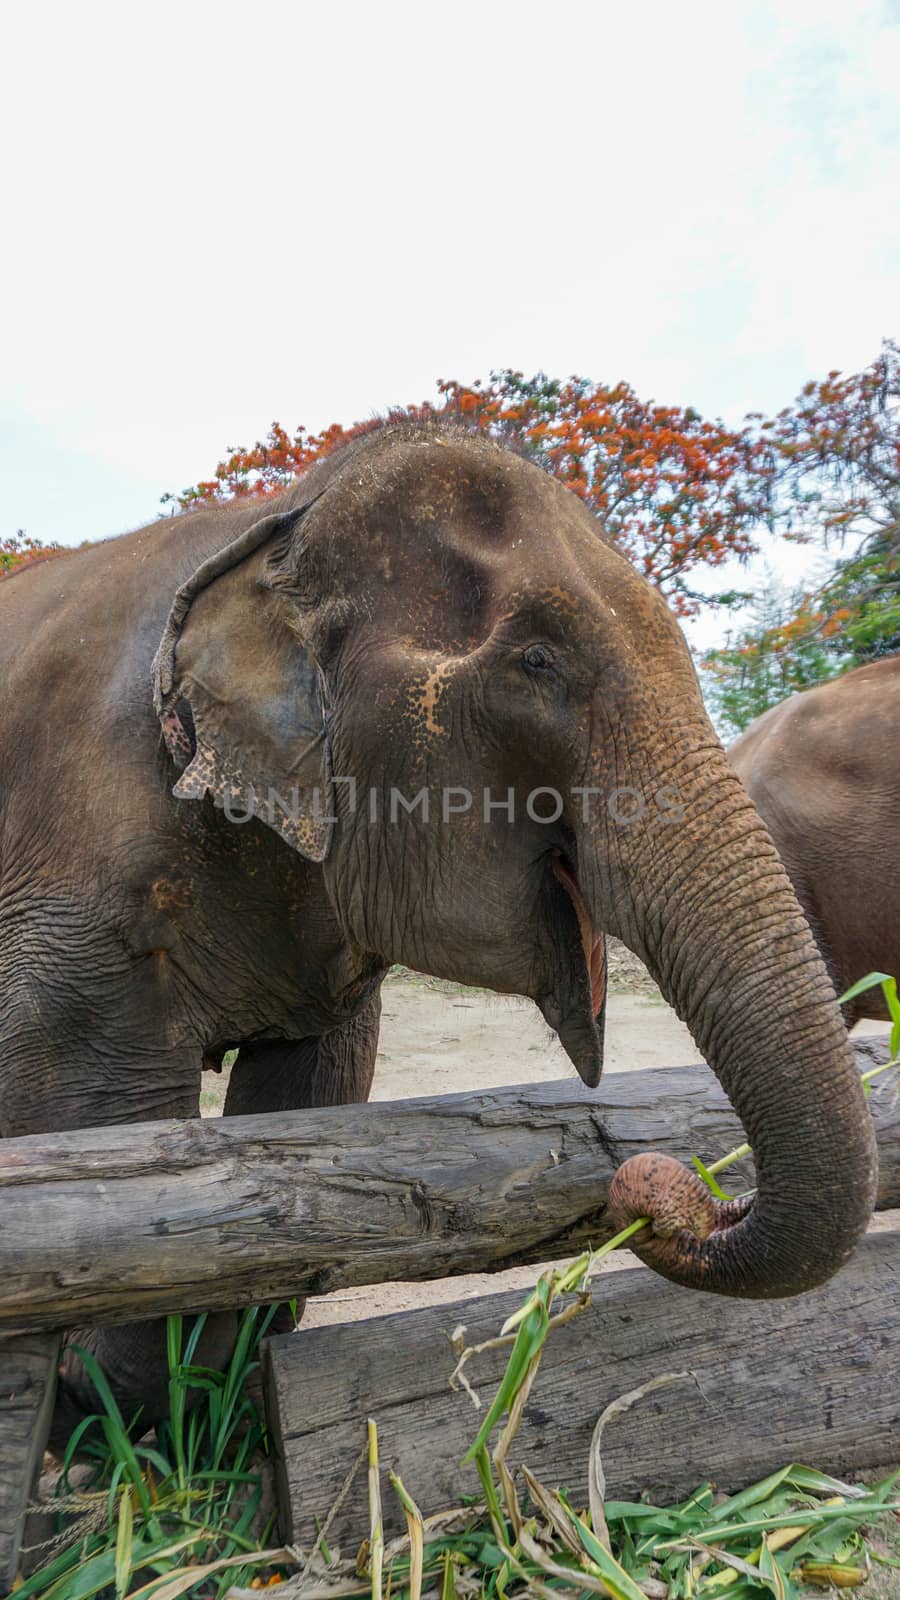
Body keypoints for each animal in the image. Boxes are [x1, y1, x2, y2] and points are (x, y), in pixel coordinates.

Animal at [0, 416, 871, 1440]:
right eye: (538, 662)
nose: (656, 1184)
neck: (276, 518)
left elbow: (304, 1096)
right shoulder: (75, 886)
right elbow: (116, 1131)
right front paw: (99, 1414)